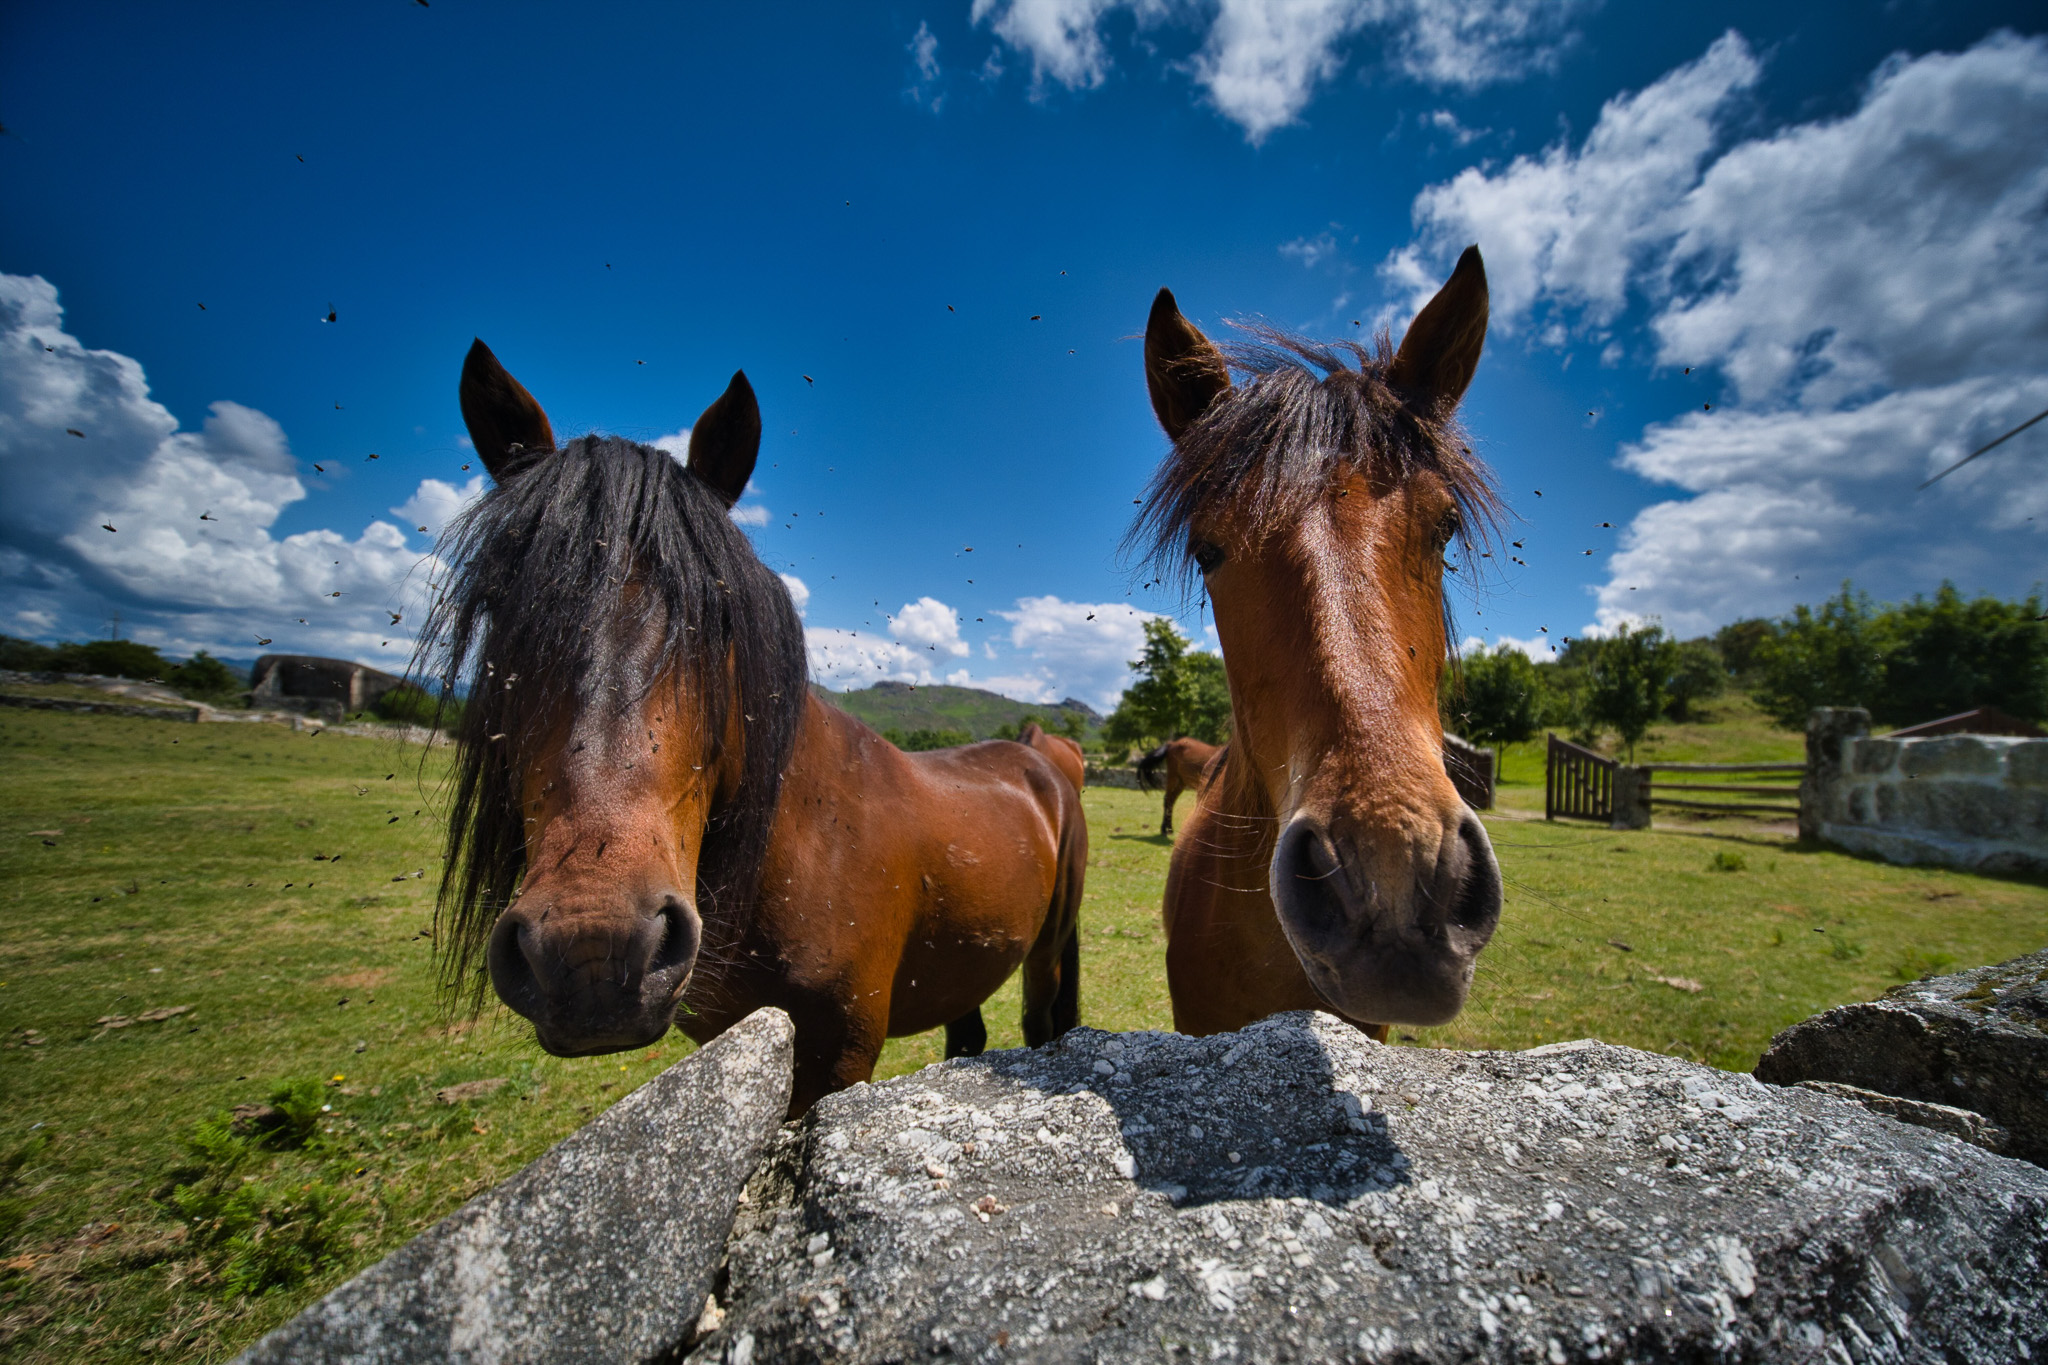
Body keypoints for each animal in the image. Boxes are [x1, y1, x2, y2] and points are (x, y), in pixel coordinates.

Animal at [425, 341, 1087, 1116]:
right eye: (501, 606)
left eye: (721, 615)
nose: (591, 948)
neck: (808, 842)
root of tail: (1043, 760)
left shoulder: (840, 1052)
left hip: (1048, 951)